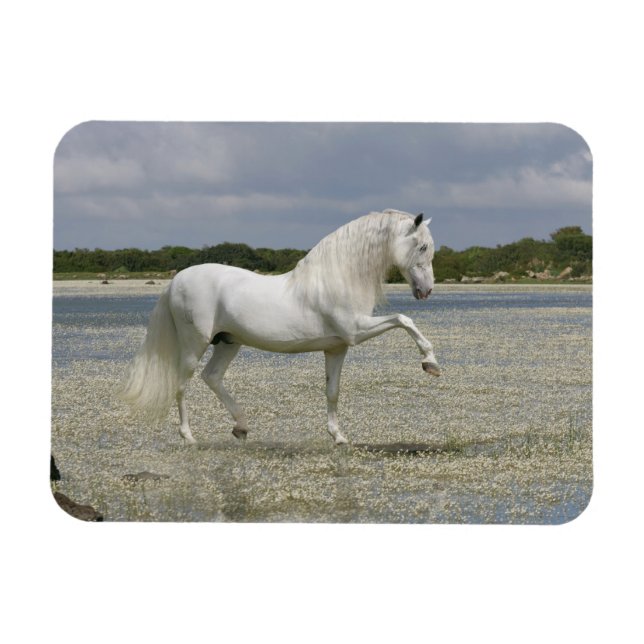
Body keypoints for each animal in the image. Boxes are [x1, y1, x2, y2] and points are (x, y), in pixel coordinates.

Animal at [118, 209, 441, 445]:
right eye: (423, 246)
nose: (426, 291)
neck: (337, 278)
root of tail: (175, 281)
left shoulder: (337, 348)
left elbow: (332, 391)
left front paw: (338, 437)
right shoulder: (356, 331)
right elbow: (404, 320)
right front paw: (430, 363)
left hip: (229, 342)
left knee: (212, 377)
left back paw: (241, 427)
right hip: (193, 345)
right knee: (182, 385)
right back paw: (189, 437)